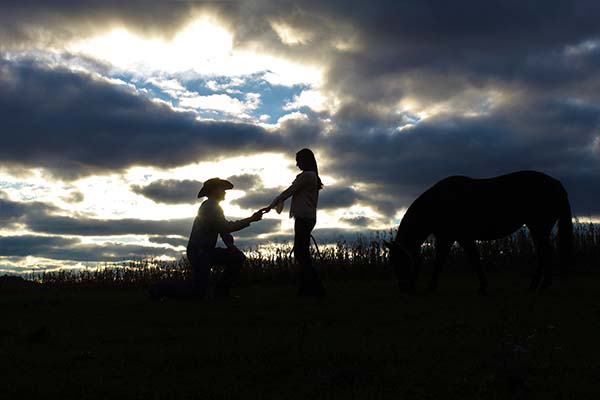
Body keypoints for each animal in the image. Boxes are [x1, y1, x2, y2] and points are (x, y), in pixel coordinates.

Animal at [384, 170, 572, 292]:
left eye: (400, 260)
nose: (403, 286)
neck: (438, 203)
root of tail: (556, 183)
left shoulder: (454, 237)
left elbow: (449, 261)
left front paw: (432, 287)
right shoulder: (455, 238)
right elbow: (469, 259)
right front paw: (482, 284)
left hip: (539, 227)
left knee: (545, 252)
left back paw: (541, 285)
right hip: (538, 229)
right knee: (542, 253)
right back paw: (536, 285)